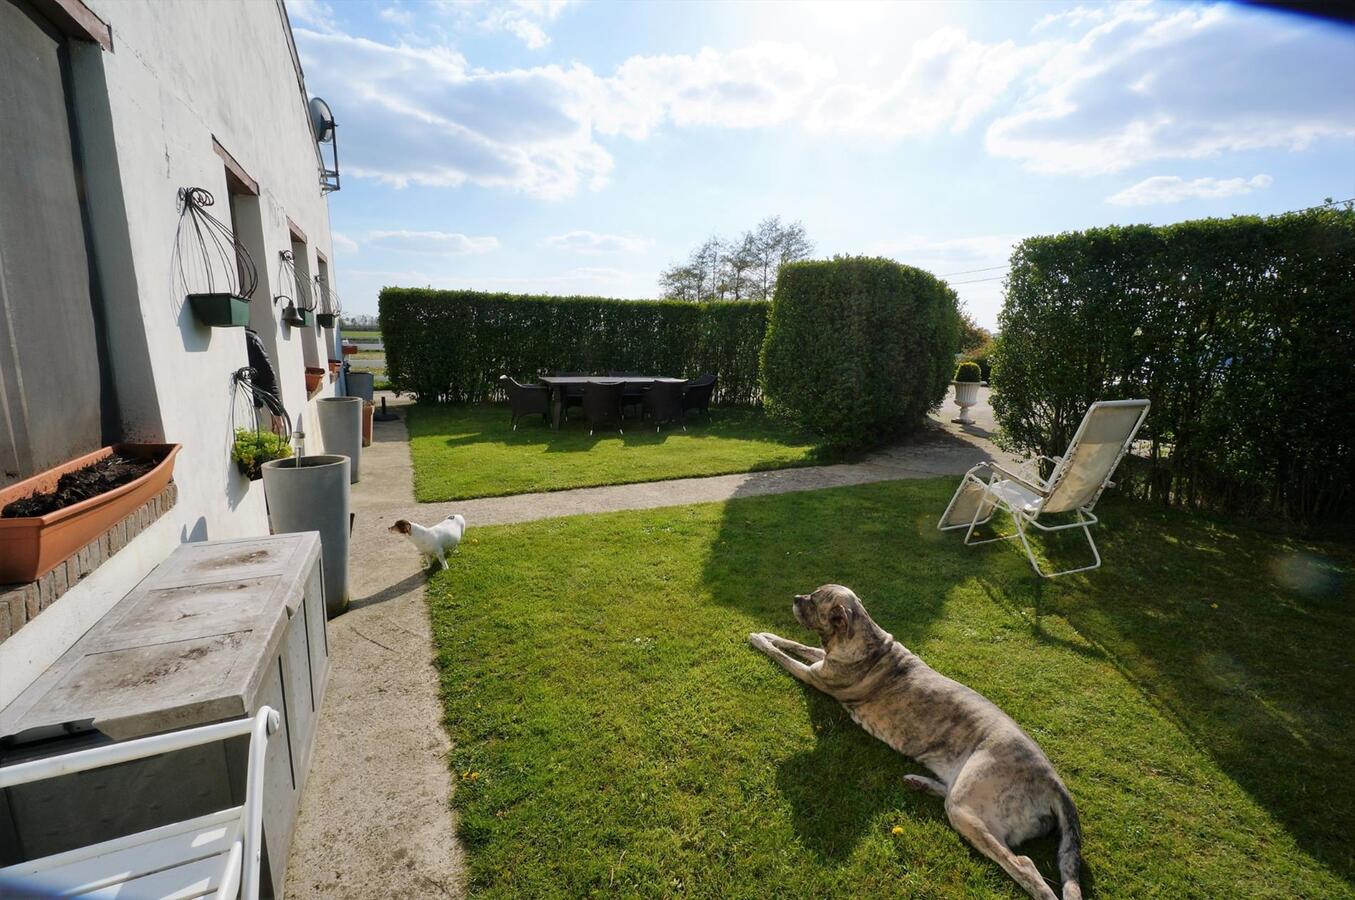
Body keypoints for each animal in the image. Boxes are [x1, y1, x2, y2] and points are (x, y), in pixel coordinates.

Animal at [747, 582, 1084, 900]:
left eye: (815, 601)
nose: (795, 598)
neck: (865, 641)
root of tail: (1056, 785)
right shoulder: (820, 662)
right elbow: (793, 643)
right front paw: (767, 633)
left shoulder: (814, 676)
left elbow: (782, 655)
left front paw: (758, 640)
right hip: (963, 795)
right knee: (948, 794)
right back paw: (918, 782)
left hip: (968, 804)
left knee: (1024, 865)